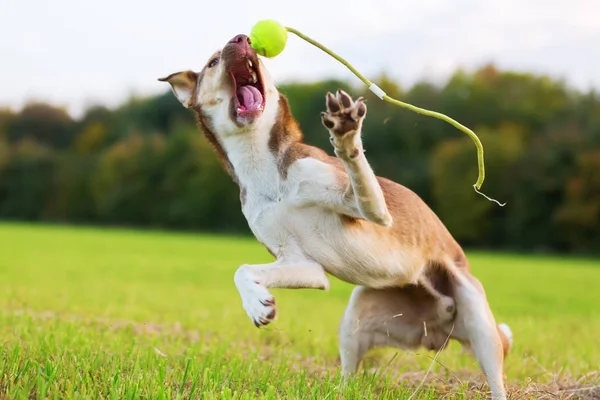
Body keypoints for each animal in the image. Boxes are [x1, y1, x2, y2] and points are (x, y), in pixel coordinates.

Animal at [162, 32, 512, 398]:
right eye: (213, 62)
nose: (241, 38)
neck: (263, 168)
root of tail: (437, 331)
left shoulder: (368, 208)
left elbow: (355, 166)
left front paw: (345, 132)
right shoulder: (303, 264)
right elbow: (243, 270)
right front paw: (257, 304)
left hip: (478, 320)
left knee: (496, 379)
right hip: (355, 319)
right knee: (349, 373)